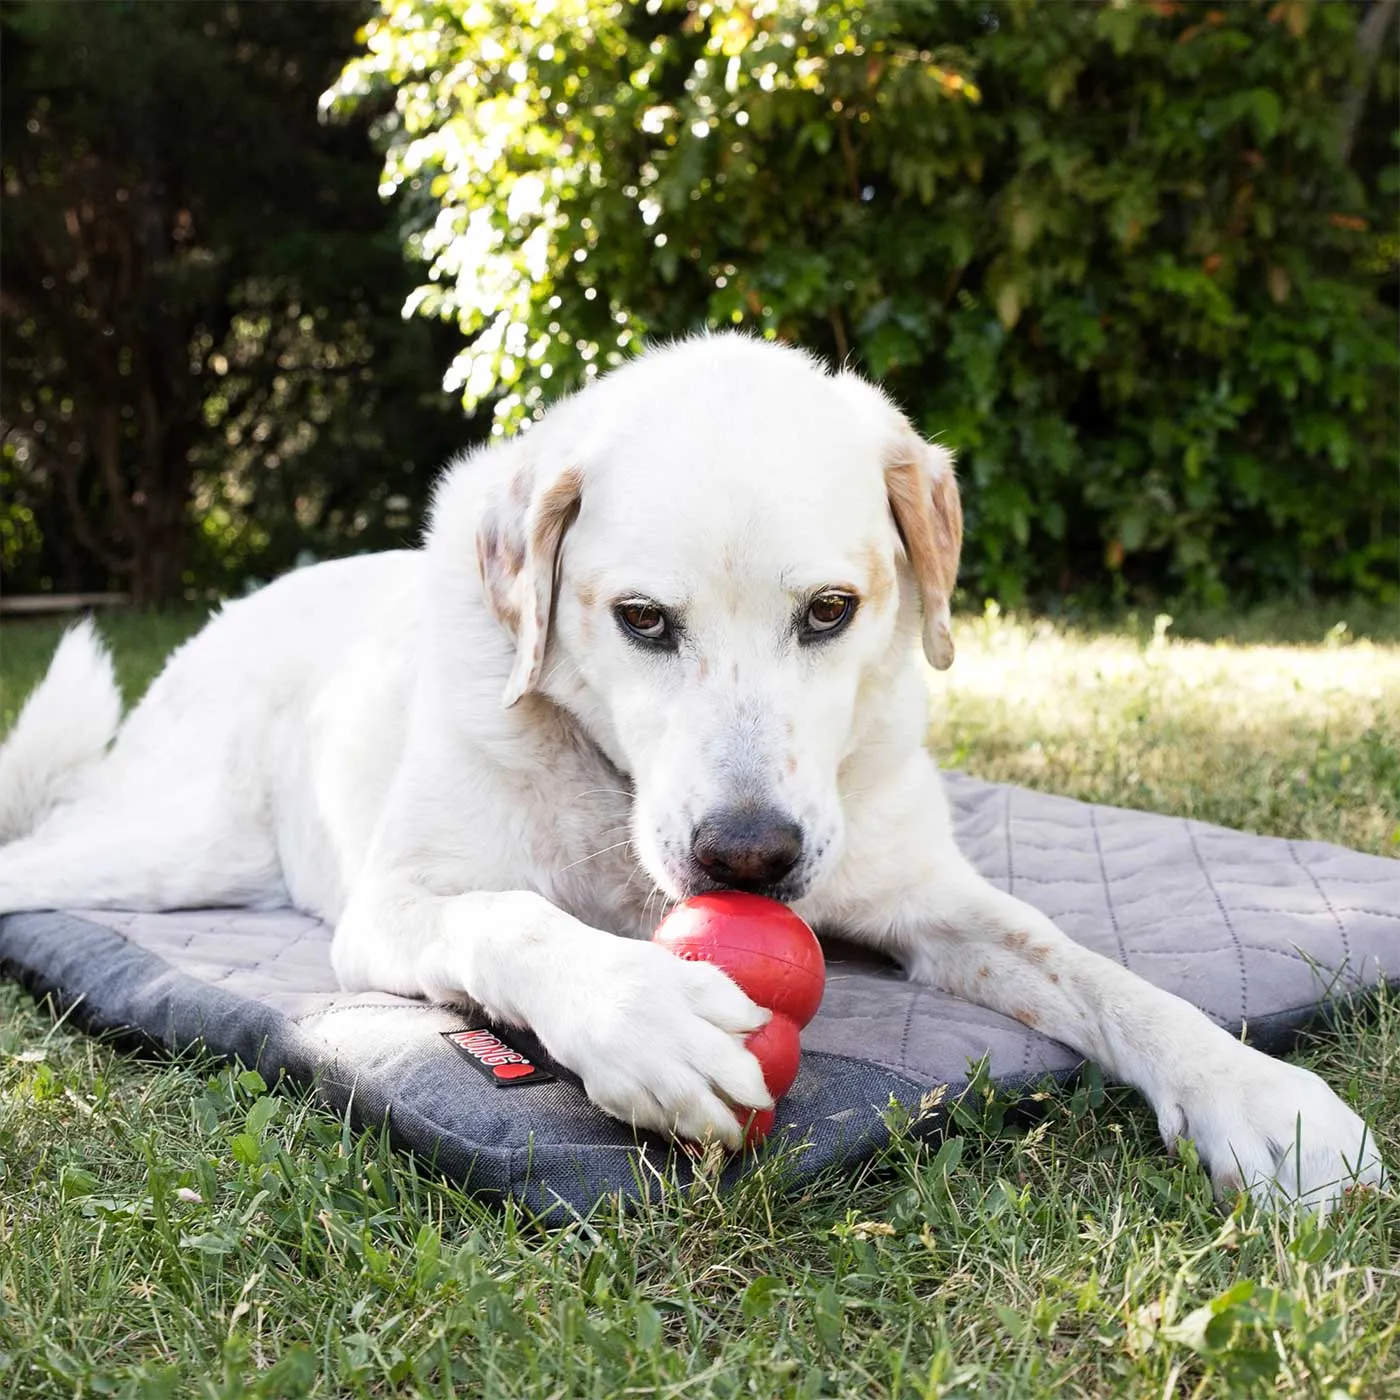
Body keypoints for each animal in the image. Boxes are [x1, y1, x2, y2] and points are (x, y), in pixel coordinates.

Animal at [0, 333, 1383, 1209]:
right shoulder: (398, 902)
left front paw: (1258, 1095)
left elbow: (1109, 979)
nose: (748, 856)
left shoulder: (936, 902)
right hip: (170, 846)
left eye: (830, 611)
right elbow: (517, 919)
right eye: (641, 619)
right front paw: (643, 1013)